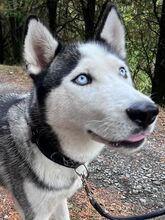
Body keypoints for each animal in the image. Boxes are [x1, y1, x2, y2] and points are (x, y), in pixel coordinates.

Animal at [0, 3, 159, 220]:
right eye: (82, 79)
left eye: (122, 71)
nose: (147, 113)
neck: (51, 151)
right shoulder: (35, 212)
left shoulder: (59, 201)